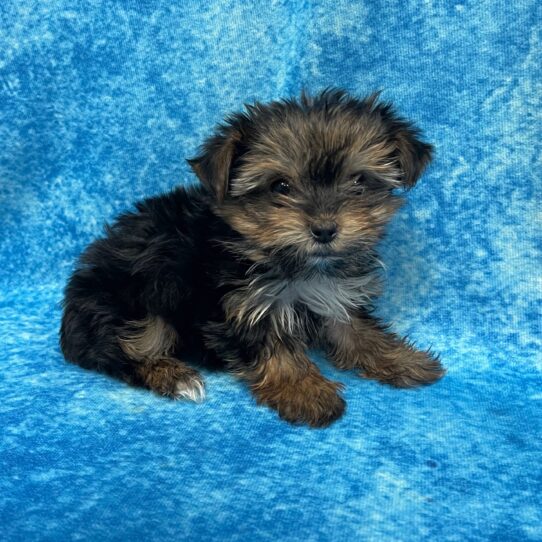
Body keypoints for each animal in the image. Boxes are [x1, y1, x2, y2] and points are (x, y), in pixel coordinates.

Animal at [60, 90, 446, 430]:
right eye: (280, 187)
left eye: (357, 181)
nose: (324, 229)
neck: (296, 264)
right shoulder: (242, 306)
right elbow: (272, 349)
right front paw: (306, 392)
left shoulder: (335, 295)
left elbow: (356, 330)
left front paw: (402, 360)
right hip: (128, 300)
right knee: (123, 351)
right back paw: (174, 376)